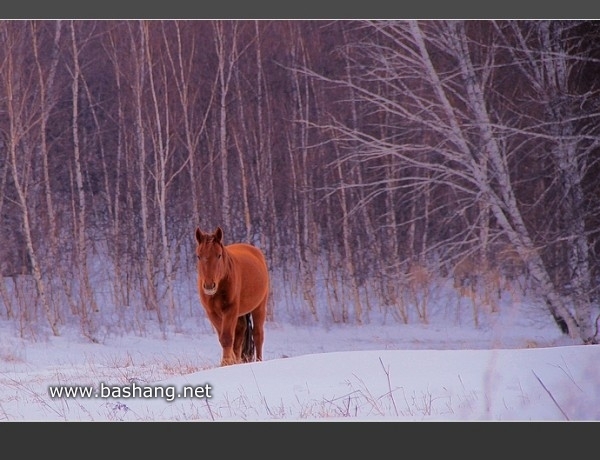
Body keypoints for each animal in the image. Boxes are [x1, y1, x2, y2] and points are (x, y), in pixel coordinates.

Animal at [195, 226, 270, 366]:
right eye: (198, 256)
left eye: (219, 255)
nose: (209, 286)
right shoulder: (212, 313)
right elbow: (224, 337)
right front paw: (230, 361)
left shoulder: (230, 310)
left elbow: (227, 337)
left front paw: (226, 362)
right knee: (241, 331)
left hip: (259, 307)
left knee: (258, 335)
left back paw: (258, 361)